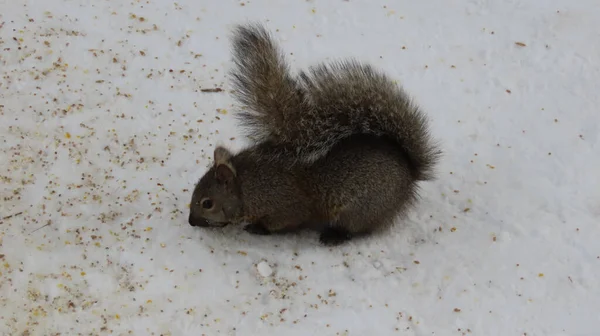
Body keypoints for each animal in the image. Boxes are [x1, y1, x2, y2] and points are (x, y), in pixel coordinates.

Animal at [189, 22, 440, 245]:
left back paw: (334, 237)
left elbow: (283, 221)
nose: (191, 222)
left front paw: (257, 228)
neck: (246, 185)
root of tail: (410, 174)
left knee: (357, 229)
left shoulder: (285, 204)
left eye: (207, 203)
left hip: (360, 209)